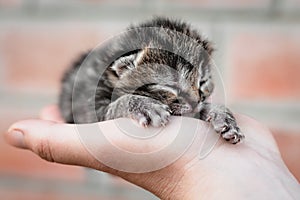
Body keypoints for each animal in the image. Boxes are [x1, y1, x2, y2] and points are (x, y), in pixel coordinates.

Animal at [58, 16, 244, 144]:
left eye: (202, 82)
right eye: (169, 85)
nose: (194, 102)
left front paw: (223, 117)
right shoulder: (90, 107)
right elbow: (115, 105)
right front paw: (144, 105)